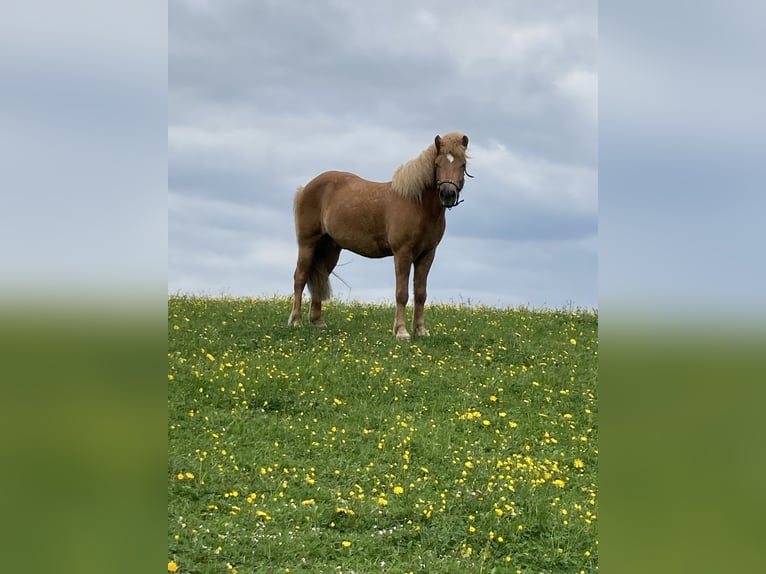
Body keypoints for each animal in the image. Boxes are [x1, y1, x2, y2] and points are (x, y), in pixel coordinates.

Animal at [288, 132, 471, 340]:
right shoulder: (403, 254)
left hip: (330, 249)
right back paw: (296, 321)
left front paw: (421, 330)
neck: (416, 204)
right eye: (438, 164)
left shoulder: (427, 255)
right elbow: (402, 293)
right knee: (300, 277)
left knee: (320, 278)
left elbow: (420, 293)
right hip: (307, 243)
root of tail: (305, 188)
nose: (448, 194)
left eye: (462, 164)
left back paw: (318, 322)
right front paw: (401, 331)